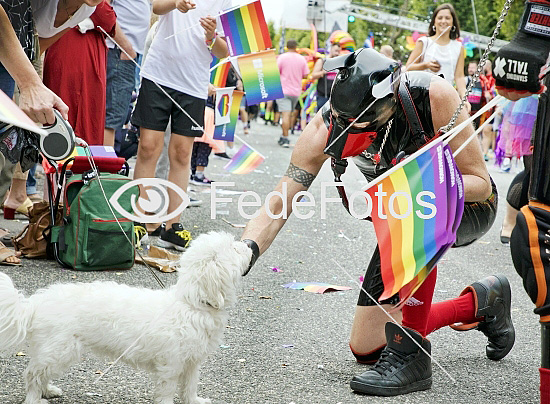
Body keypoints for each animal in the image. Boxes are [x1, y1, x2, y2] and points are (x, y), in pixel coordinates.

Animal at [0, 230, 253, 404]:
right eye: (233, 248)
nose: (249, 245)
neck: (192, 302)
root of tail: (35, 303)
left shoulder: (191, 362)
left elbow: (190, 386)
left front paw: (194, 401)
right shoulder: (170, 364)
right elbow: (167, 391)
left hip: (53, 351)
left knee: (40, 373)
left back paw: (48, 390)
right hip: (59, 350)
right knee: (32, 374)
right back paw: (34, 399)